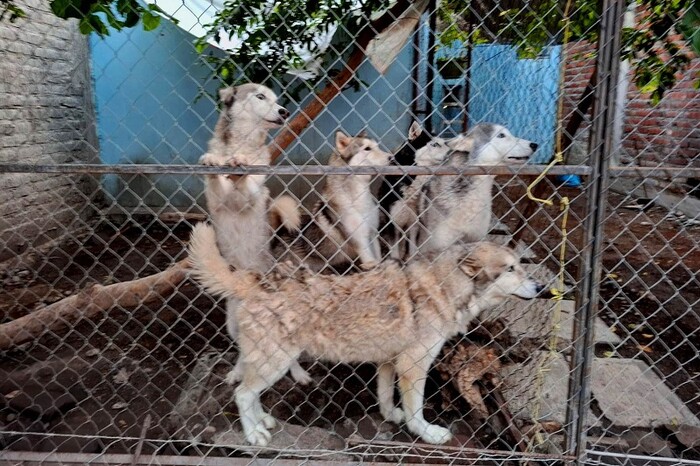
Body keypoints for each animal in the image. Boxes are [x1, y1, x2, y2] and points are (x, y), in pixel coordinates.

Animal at [187, 224, 548, 446]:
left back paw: (263, 422)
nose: (541, 288)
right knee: (242, 394)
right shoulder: (413, 367)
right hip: (274, 363)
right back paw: (254, 436)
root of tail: (257, 281)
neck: (443, 289)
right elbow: (416, 410)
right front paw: (428, 434)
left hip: (271, 363)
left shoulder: (388, 363)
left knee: (251, 394)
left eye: (522, 264)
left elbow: (386, 397)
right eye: (511, 269)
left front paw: (391, 416)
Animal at [200, 83, 312, 386]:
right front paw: (214, 161)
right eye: (260, 97)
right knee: (243, 350)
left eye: (277, 100)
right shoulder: (218, 201)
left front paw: (239, 166)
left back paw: (298, 374)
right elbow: (216, 178)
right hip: (233, 322)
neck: (241, 143)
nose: (284, 111)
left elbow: (247, 182)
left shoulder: (249, 197)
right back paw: (238, 372)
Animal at [272, 131, 394, 274]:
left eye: (377, 147)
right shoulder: (359, 240)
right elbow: (370, 260)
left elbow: (378, 258)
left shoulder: (373, 234)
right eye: (367, 149)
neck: (358, 197)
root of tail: (278, 234)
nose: (391, 157)